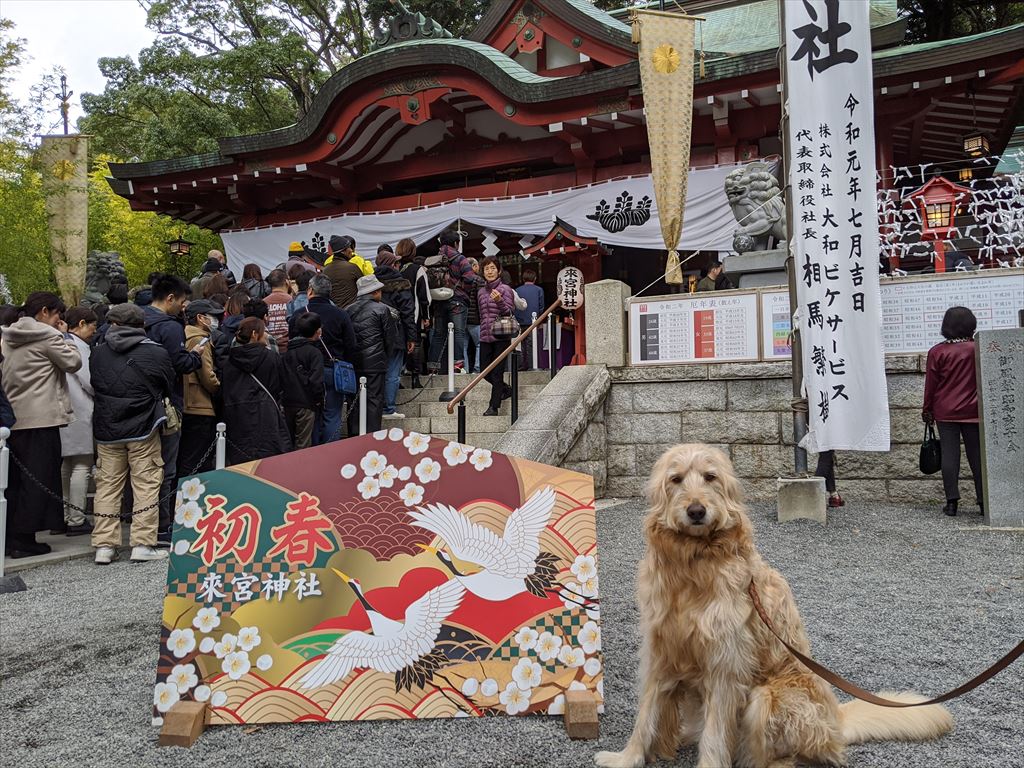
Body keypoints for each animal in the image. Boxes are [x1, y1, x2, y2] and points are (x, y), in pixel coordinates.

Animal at [593, 444, 950, 768]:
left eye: (710, 477)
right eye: (676, 479)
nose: (696, 511)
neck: (695, 564)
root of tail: (836, 721)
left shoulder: (725, 666)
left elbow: (714, 736)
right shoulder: (659, 652)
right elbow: (645, 715)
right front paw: (627, 758)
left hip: (764, 699)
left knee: (777, 759)